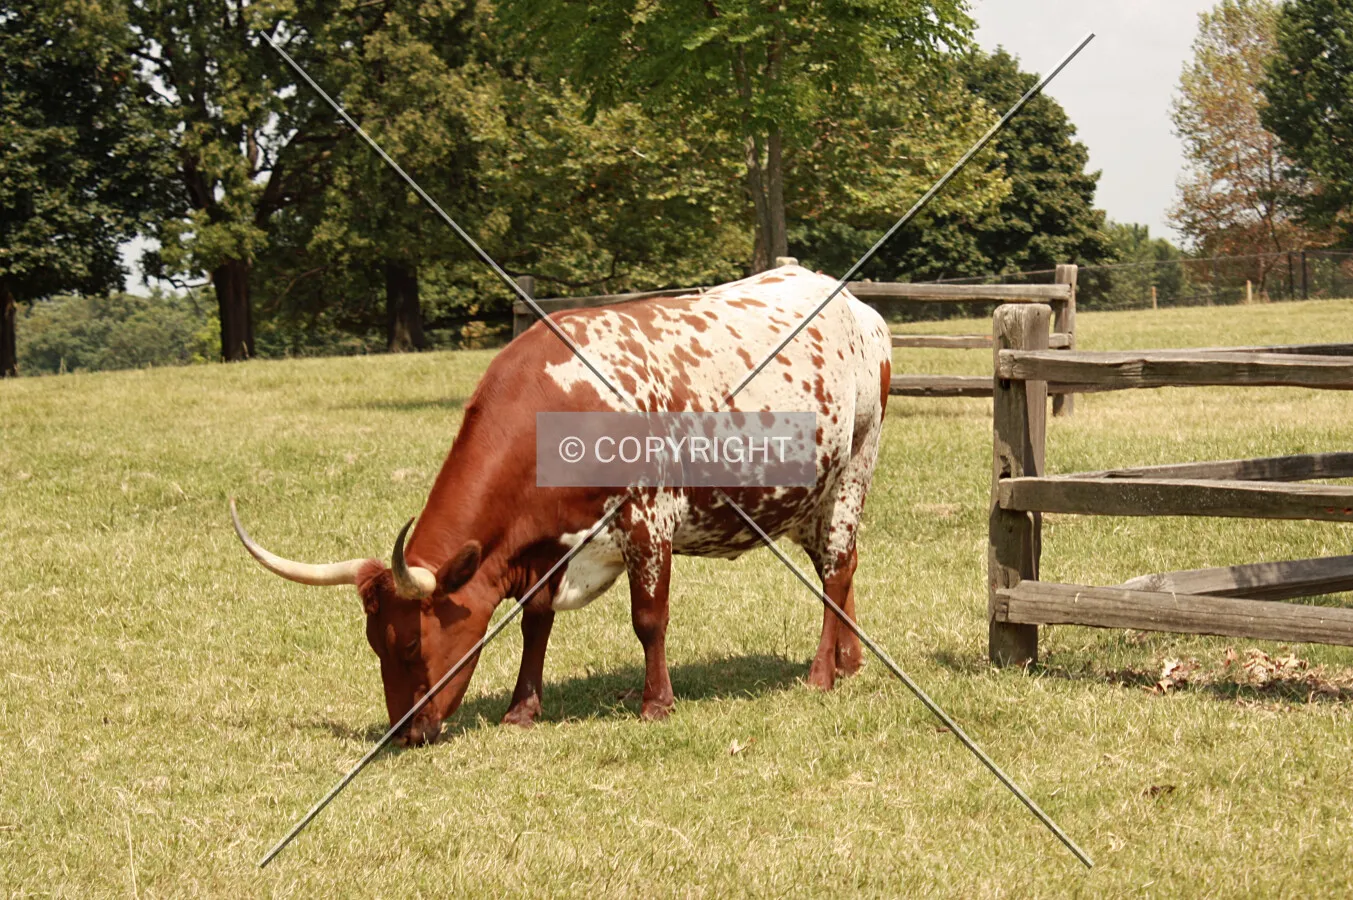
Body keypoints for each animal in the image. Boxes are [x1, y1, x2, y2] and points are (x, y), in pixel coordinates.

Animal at [231, 265, 892, 744]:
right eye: (374, 644)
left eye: (411, 646)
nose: (406, 734)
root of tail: (855, 305)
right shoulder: (543, 547)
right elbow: (535, 623)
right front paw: (522, 711)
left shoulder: (649, 521)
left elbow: (648, 619)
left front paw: (656, 704)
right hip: (814, 498)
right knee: (839, 569)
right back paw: (851, 661)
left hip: (853, 471)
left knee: (837, 570)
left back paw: (821, 675)